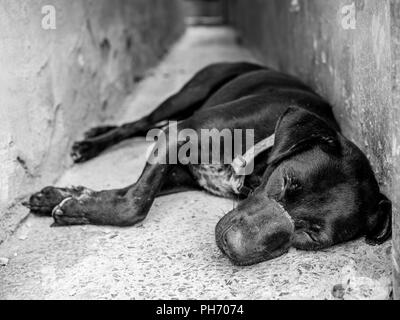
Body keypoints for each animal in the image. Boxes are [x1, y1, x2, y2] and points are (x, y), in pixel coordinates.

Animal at [26, 62, 392, 264]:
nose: (230, 246)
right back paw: (91, 143)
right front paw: (72, 200)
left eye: (312, 236)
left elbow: (129, 192)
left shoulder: (179, 172)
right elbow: (137, 202)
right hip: (187, 94)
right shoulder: (181, 133)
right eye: (285, 182)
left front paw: (70, 199)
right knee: (138, 123)